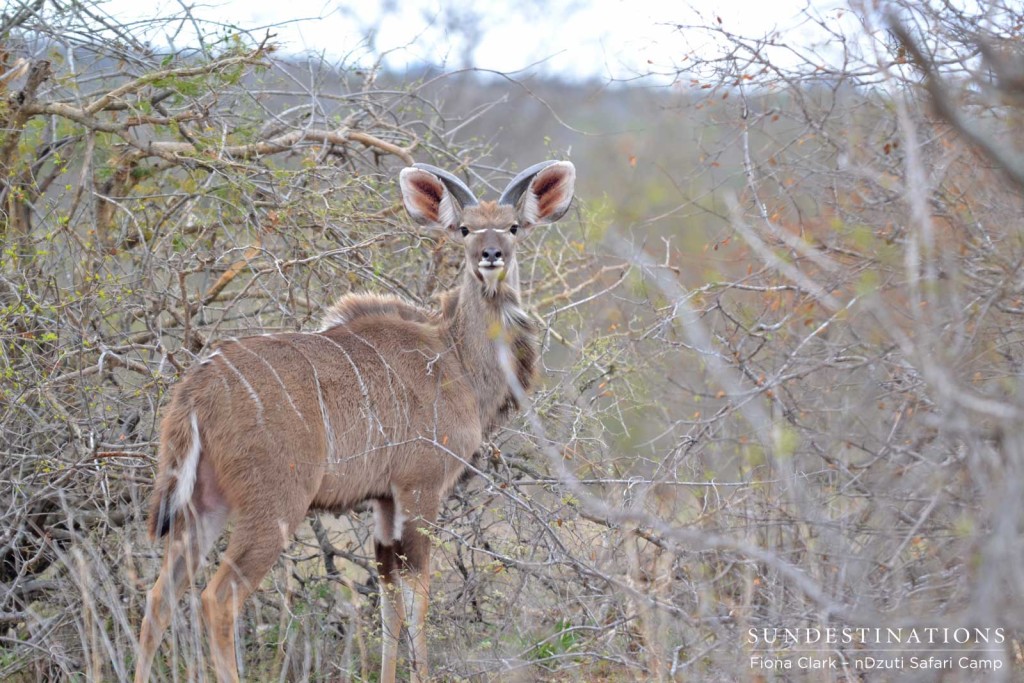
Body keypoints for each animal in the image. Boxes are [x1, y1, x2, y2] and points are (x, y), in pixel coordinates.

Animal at [134, 161, 577, 683]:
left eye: (512, 227)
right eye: (465, 229)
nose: (491, 256)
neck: (455, 358)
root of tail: (196, 391)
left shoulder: (384, 500)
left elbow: (389, 596)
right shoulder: (421, 488)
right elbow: (418, 590)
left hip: (204, 505)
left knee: (159, 599)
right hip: (275, 506)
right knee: (217, 598)